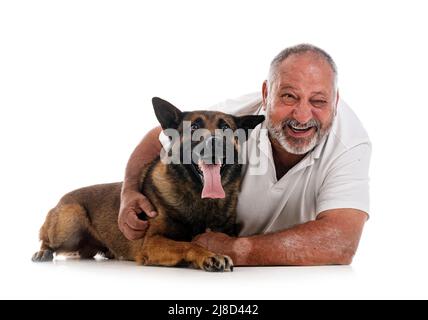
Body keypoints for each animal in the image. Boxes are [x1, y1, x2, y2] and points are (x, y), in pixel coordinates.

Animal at [31, 97, 264, 270]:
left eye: (226, 127)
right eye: (195, 126)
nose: (215, 143)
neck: (201, 200)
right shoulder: (152, 242)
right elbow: (187, 244)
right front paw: (209, 255)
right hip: (72, 217)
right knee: (46, 239)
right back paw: (43, 251)